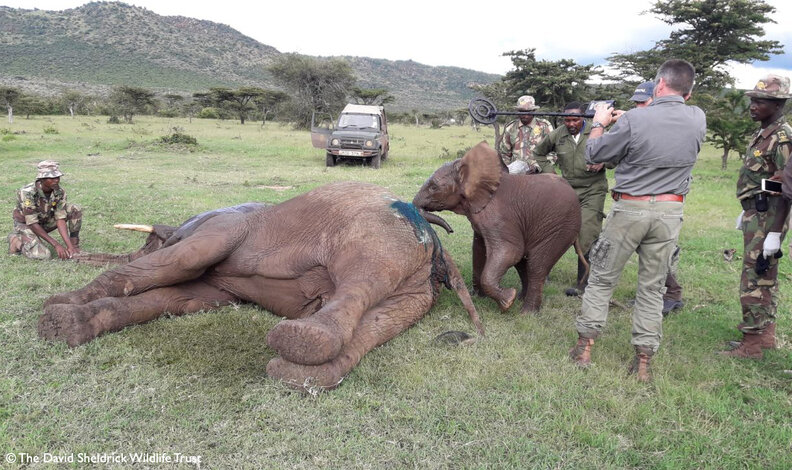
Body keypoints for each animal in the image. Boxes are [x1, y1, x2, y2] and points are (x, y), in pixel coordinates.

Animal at [39, 182, 484, 391]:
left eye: (150, 242)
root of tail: (435, 244)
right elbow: (179, 298)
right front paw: (66, 325)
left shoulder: (223, 228)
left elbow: (182, 261)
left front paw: (55, 310)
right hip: (415, 290)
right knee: (378, 323)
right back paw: (300, 373)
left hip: (377, 237)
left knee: (360, 282)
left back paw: (301, 340)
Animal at [413, 141, 583, 314]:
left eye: (433, 187)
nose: (450, 230)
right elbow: (479, 250)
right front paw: (478, 297)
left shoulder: (499, 217)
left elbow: (510, 251)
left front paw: (507, 301)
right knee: (523, 264)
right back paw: (520, 299)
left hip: (560, 227)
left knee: (536, 265)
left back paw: (526, 313)